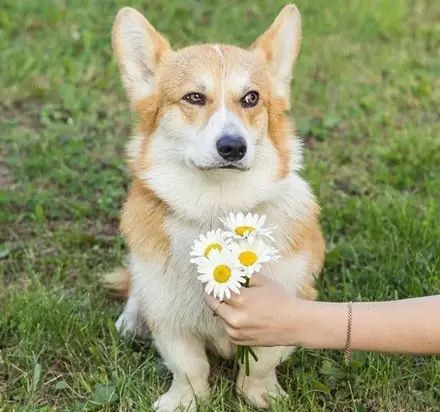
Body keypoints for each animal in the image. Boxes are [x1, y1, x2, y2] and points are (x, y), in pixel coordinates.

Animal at [110, 4, 324, 412]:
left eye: (252, 98)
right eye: (194, 97)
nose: (232, 147)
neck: (218, 206)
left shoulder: (289, 305)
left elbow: (263, 362)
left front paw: (261, 395)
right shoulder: (170, 320)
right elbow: (189, 366)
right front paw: (184, 400)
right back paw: (131, 319)